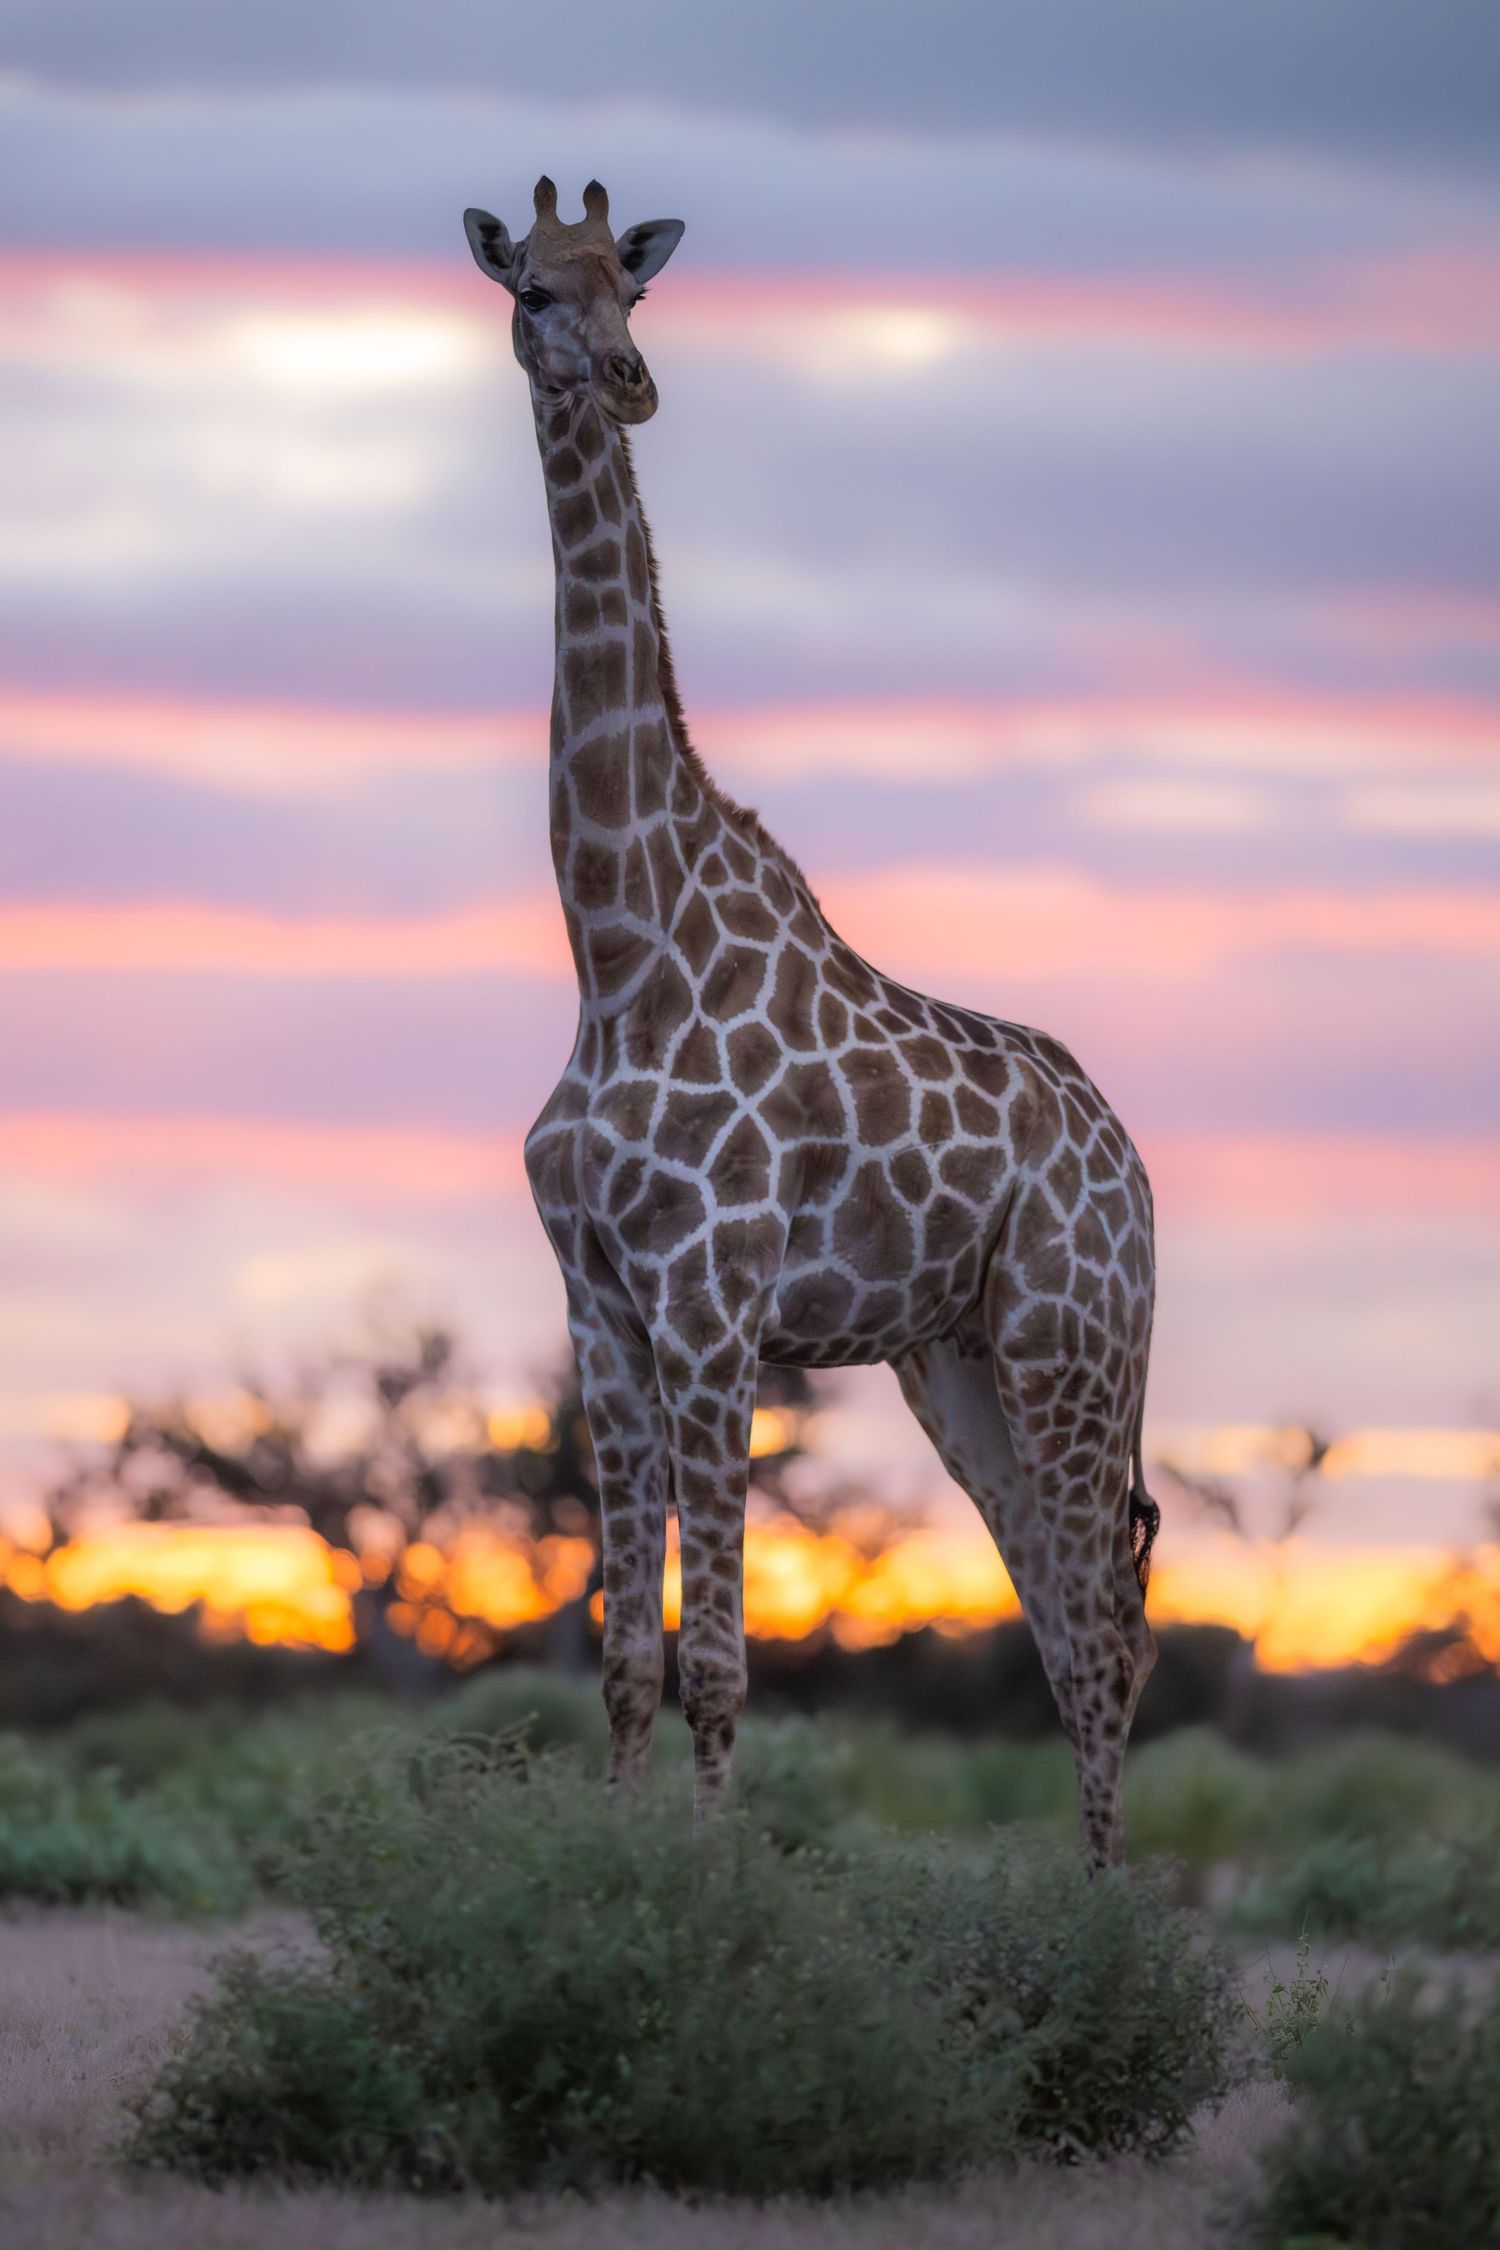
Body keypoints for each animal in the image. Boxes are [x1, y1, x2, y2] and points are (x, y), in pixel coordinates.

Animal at [464, 177, 1161, 1867]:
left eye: (633, 288)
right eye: (531, 289)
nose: (630, 383)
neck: (615, 943)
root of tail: (1133, 1169)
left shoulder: (715, 1300)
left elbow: (720, 1657)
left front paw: (716, 1890)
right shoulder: (600, 1303)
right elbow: (625, 1656)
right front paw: (618, 1866)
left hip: (1073, 1342)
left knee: (1109, 1627)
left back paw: (1118, 1923)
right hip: (958, 1364)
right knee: (1068, 1618)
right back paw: (1093, 1902)